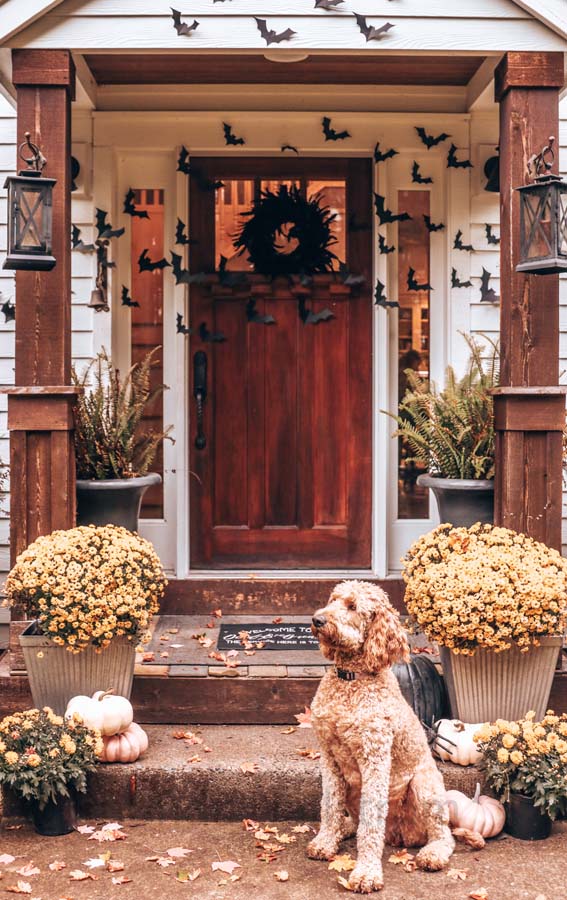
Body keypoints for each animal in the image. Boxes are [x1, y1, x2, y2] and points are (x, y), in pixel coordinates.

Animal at [308, 580, 454, 888]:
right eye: (332, 599)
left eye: (352, 606)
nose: (317, 620)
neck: (349, 681)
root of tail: (400, 837)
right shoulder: (329, 757)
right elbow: (329, 804)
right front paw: (326, 841)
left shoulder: (375, 758)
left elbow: (371, 822)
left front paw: (366, 872)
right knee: (351, 818)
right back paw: (343, 828)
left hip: (425, 786)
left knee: (443, 834)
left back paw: (433, 853)